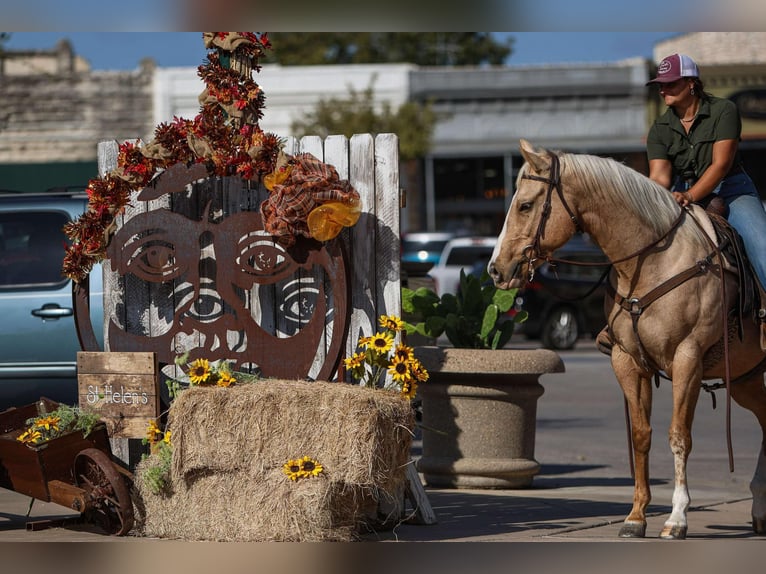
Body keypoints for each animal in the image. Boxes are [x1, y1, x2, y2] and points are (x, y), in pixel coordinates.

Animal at [492, 140, 766, 540]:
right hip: (747, 381)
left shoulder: (687, 360)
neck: (653, 260)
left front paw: (677, 518)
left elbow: (678, 435)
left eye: (525, 205)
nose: (496, 269)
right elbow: (640, 435)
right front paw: (636, 516)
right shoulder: (627, 361)